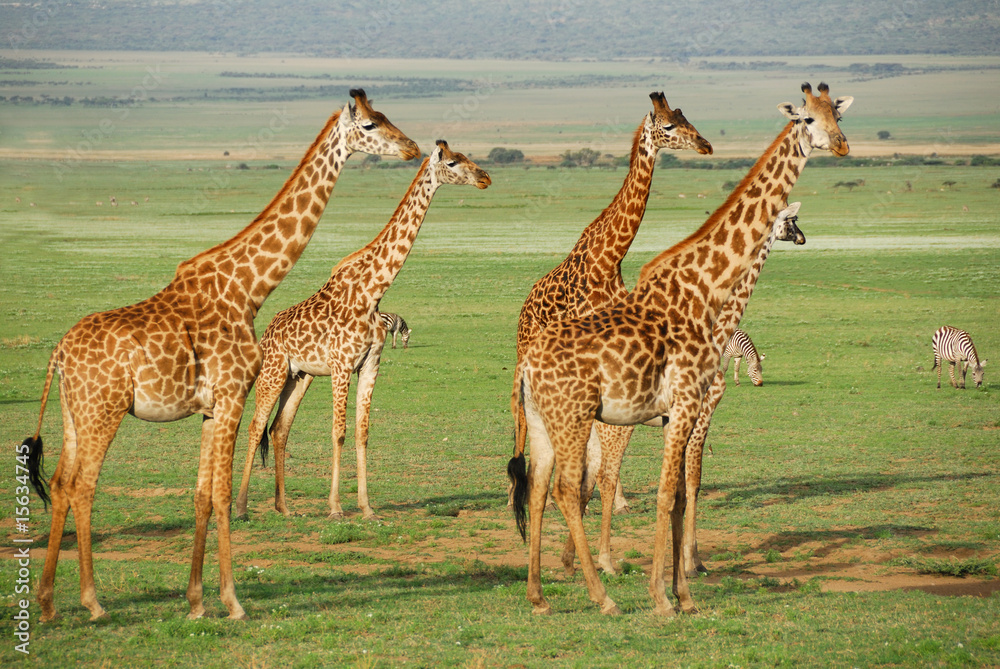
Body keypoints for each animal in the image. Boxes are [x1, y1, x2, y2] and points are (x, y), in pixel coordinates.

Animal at [22, 89, 418, 623]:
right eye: (372, 125)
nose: (413, 147)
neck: (248, 289)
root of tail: (58, 353)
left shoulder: (211, 408)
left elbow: (202, 495)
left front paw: (195, 601)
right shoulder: (232, 395)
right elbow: (224, 495)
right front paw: (232, 601)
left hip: (73, 414)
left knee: (62, 483)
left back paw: (46, 602)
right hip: (104, 410)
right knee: (83, 486)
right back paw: (92, 601)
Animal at [235, 141, 490, 521]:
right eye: (454, 161)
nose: (485, 176)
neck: (372, 291)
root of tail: (266, 333)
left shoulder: (370, 365)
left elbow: (362, 432)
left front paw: (367, 507)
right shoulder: (342, 365)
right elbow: (339, 431)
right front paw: (336, 507)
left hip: (300, 376)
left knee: (280, 428)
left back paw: (284, 507)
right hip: (273, 370)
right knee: (255, 426)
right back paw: (240, 507)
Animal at [508, 91, 712, 507]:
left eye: (687, 119)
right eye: (669, 126)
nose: (705, 144)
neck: (608, 258)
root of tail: (524, 307)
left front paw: (614, 497)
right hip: (524, 355)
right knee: (519, 415)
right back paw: (517, 494)